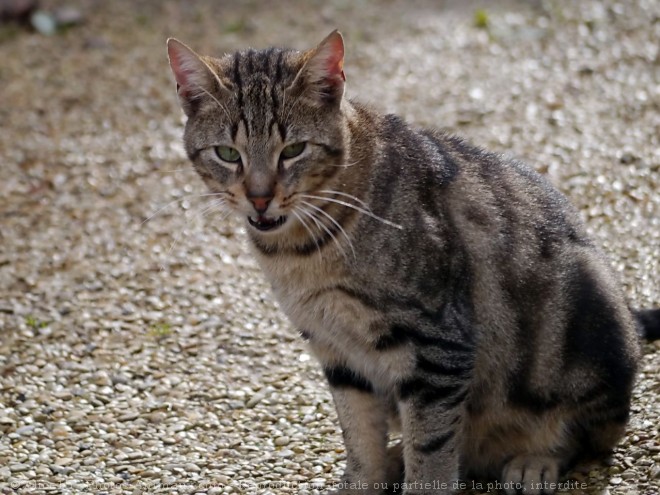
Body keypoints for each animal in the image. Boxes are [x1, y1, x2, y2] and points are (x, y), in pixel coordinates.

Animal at [166, 32, 660, 495]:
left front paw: (420, 474)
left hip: (586, 336)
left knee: (589, 434)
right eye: (228, 154)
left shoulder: (436, 347)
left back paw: (533, 461)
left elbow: (432, 450)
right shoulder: (338, 351)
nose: (259, 197)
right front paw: (364, 478)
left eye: (293, 150)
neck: (301, 253)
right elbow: (359, 435)